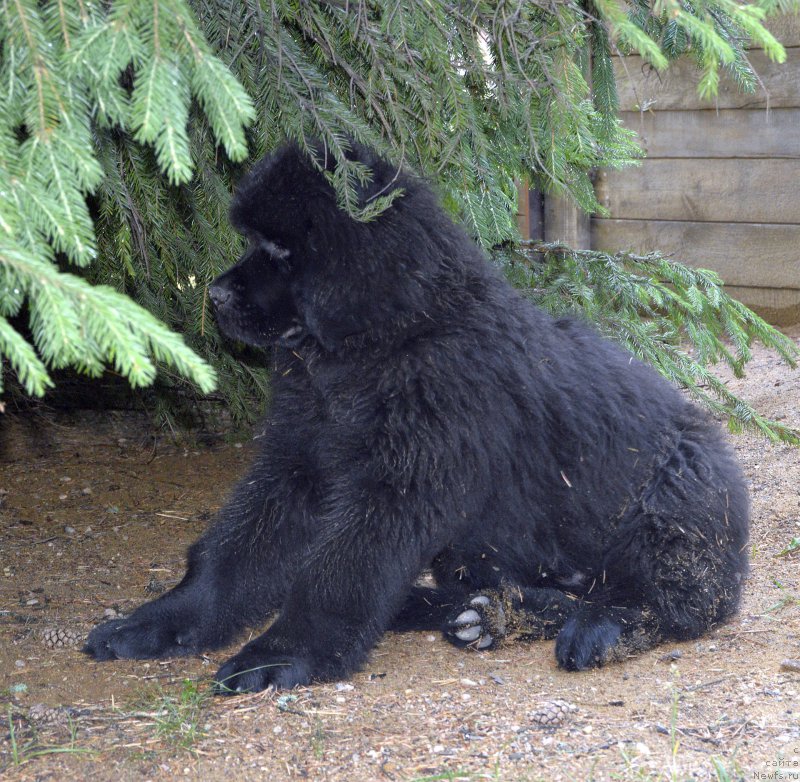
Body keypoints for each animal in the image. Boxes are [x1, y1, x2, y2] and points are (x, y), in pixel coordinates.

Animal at [86, 141, 752, 692]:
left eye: (278, 248)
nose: (215, 296)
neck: (386, 344)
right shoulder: (299, 462)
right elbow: (233, 553)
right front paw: (157, 622)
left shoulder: (401, 484)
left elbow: (338, 573)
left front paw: (281, 654)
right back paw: (476, 613)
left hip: (672, 500)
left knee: (674, 602)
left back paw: (597, 628)